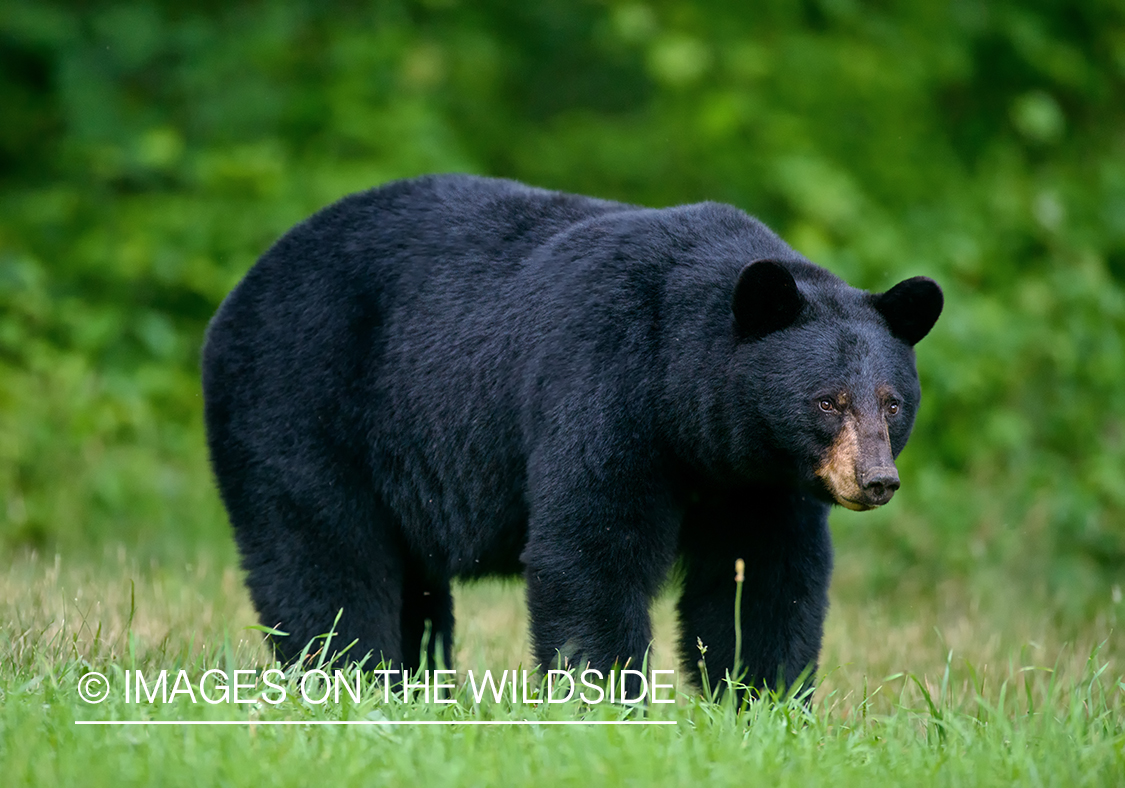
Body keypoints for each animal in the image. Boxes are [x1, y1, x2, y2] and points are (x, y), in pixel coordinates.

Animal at [201, 173, 942, 695]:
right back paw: (350, 679)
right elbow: (591, 552)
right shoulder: (604, 384)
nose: (876, 481)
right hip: (298, 401)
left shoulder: (758, 481)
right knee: (322, 555)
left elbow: (762, 579)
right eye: (827, 401)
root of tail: (243, 286)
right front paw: (606, 701)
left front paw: (762, 701)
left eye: (892, 403)